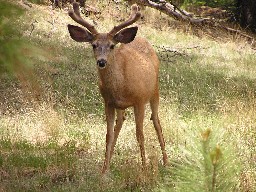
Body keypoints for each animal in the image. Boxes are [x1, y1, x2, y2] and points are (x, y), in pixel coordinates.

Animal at [67, 1, 168, 173]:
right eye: (94, 45)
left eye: (112, 46)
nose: (101, 61)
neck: (120, 86)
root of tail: (142, 39)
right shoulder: (108, 102)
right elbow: (108, 135)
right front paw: (104, 170)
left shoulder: (139, 100)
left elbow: (140, 134)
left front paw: (144, 168)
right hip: (121, 106)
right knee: (120, 122)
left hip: (155, 91)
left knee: (156, 121)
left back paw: (166, 161)